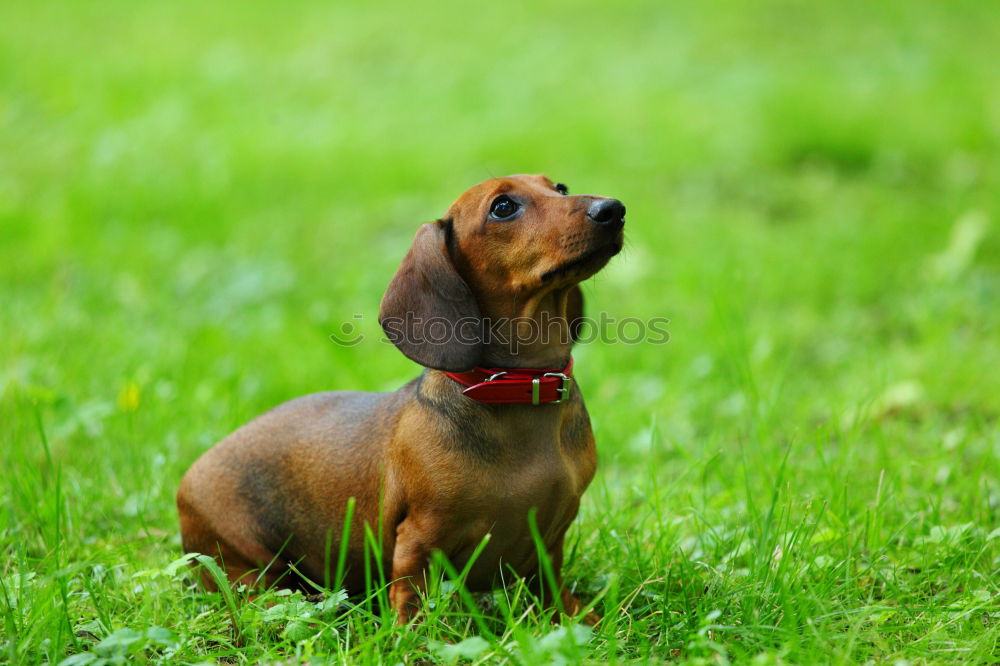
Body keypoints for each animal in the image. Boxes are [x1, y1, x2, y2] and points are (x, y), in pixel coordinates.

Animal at [176, 174, 620, 620]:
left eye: (560, 188)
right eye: (503, 207)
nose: (613, 209)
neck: (519, 386)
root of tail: (189, 475)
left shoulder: (550, 541)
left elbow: (552, 590)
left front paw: (580, 617)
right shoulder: (418, 539)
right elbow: (413, 601)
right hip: (243, 560)